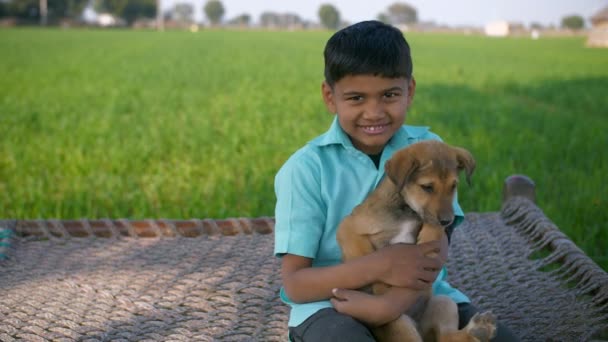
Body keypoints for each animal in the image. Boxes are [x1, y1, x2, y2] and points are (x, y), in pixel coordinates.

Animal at [334, 140, 496, 342]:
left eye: (453, 186)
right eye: (427, 187)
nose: (448, 221)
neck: (407, 210)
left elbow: (432, 224)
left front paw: (429, 239)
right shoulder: (348, 226)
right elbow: (363, 257)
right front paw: (379, 287)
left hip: (443, 302)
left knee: (445, 337)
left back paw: (479, 330)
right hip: (399, 322)